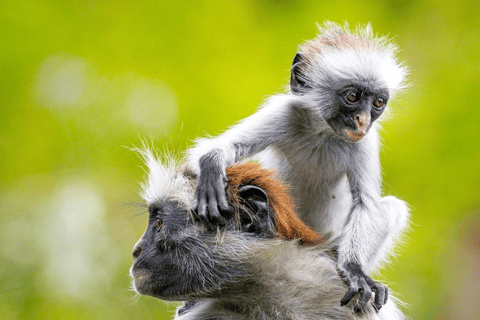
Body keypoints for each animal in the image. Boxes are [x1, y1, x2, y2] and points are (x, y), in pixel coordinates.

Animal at [189, 21, 410, 312]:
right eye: (353, 96)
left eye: (377, 103)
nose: (363, 120)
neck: (322, 132)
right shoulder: (286, 112)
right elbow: (208, 152)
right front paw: (213, 162)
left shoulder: (365, 141)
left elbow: (366, 204)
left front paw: (354, 269)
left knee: (392, 208)